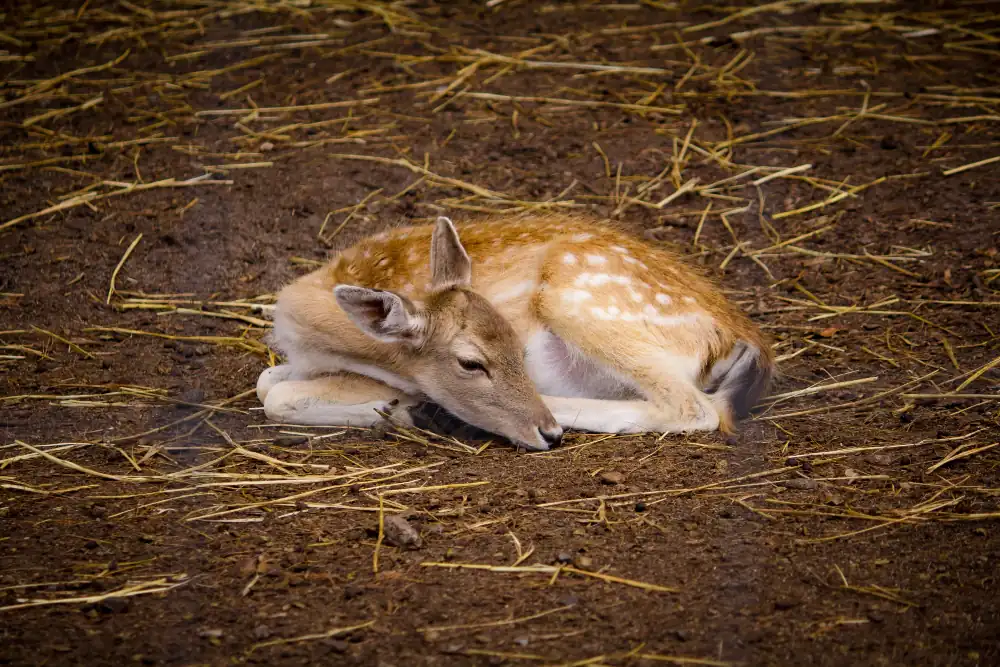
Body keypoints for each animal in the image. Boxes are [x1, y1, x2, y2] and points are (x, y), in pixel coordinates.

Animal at [257, 214, 773, 451]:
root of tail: (739, 338)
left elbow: (274, 396)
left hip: (576, 299)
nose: (546, 430)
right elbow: (267, 382)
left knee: (695, 408)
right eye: (471, 362)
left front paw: (404, 407)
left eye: (517, 346)